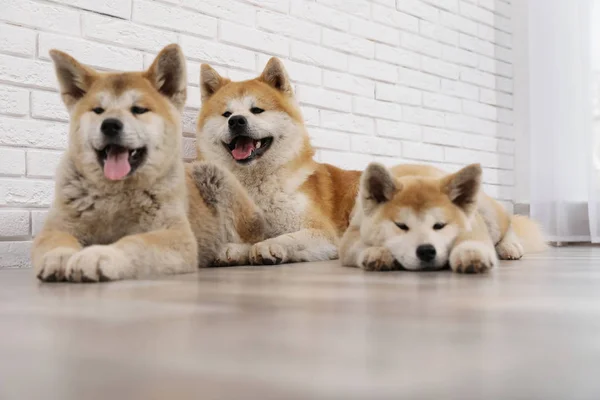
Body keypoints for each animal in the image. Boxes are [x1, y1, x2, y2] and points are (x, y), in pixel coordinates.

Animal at [32, 44, 262, 282]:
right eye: (98, 111)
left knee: (253, 240)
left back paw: (231, 252)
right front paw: (59, 256)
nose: (110, 125)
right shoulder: (57, 227)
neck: (115, 193)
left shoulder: (176, 237)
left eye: (139, 109)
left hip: (215, 176)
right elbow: (55, 240)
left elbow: (135, 243)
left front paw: (100, 254)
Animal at [340, 162, 548, 272]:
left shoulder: (473, 222)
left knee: (509, 225)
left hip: (489, 213)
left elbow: (473, 239)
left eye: (439, 225)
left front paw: (469, 253)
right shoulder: (351, 234)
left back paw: (509, 246)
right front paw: (377, 251)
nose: (426, 251)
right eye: (401, 225)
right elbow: (359, 245)